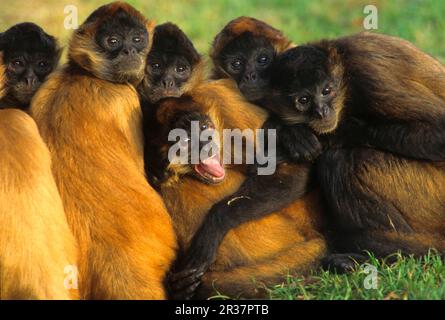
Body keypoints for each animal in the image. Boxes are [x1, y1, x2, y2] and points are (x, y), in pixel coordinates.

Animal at [258, 31, 444, 264]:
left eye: (326, 91)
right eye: (304, 100)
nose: (321, 112)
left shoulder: (369, 72)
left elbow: (439, 133)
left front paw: (331, 135)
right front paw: (288, 130)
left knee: (341, 162)